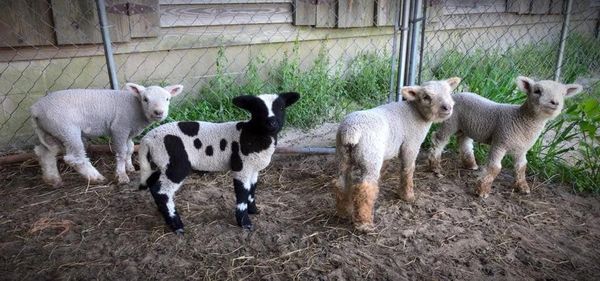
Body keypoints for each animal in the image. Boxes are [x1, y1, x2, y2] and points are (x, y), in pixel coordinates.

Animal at [31, 82, 182, 185]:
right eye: (145, 99)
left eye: (167, 99)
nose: (159, 112)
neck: (136, 107)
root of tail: (35, 109)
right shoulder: (119, 128)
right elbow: (121, 152)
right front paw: (121, 175)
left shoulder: (129, 131)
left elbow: (130, 148)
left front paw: (130, 167)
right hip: (66, 129)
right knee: (74, 158)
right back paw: (95, 177)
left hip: (50, 131)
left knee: (46, 153)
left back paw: (53, 179)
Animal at [139, 91, 300, 232]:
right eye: (257, 109)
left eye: (281, 108)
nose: (272, 123)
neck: (250, 134)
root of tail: (147, 140)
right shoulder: (242, 167)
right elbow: (242, 193)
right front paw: (245, 223)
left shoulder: (253, 168)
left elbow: (252, 189)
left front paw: (254, 210)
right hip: (176, 164)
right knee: (162, 192)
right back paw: (177, 226)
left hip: (159, 164)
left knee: (153, 187)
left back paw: (163, 214)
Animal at [332, 76, 460, 230]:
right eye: (426, 97)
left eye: (448, 92)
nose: (447, 107)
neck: (416, 113)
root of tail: (351, 131)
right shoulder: (411, 145)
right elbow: (407, 170)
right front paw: (407, 196)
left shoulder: (387, 150)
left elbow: (386, 165)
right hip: (370, 157)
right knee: (364, 189)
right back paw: (364, 223)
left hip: (342, 155)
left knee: (341, 183)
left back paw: (344, 212)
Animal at [428, 75, 584, 197]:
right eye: (537, 91)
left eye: (563, 94)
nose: (555, 102)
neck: (521, 119)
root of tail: (455, 94)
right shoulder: (500, 142)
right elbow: (495, 167)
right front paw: (482, 190)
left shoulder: (522, 149)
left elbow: (522, 166)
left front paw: (523, 187)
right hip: (450, 122)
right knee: (439, 139)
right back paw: (434, 165)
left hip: (467, 127)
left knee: (464, 142)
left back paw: (471, 164)